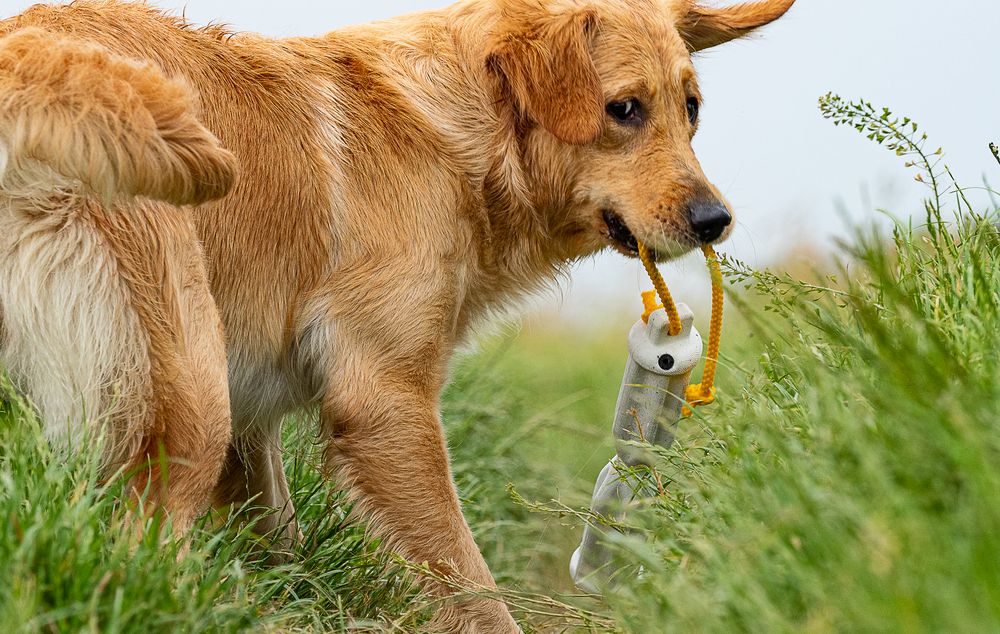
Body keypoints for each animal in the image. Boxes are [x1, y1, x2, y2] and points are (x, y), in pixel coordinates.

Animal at [0, 0, 796, 628]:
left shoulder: (253, 424)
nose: (715, 220)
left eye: (690, 108)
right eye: (623, 109)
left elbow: (279, 539)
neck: (459, 134)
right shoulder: (385, 404)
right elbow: (470, 586)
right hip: (191, 403)